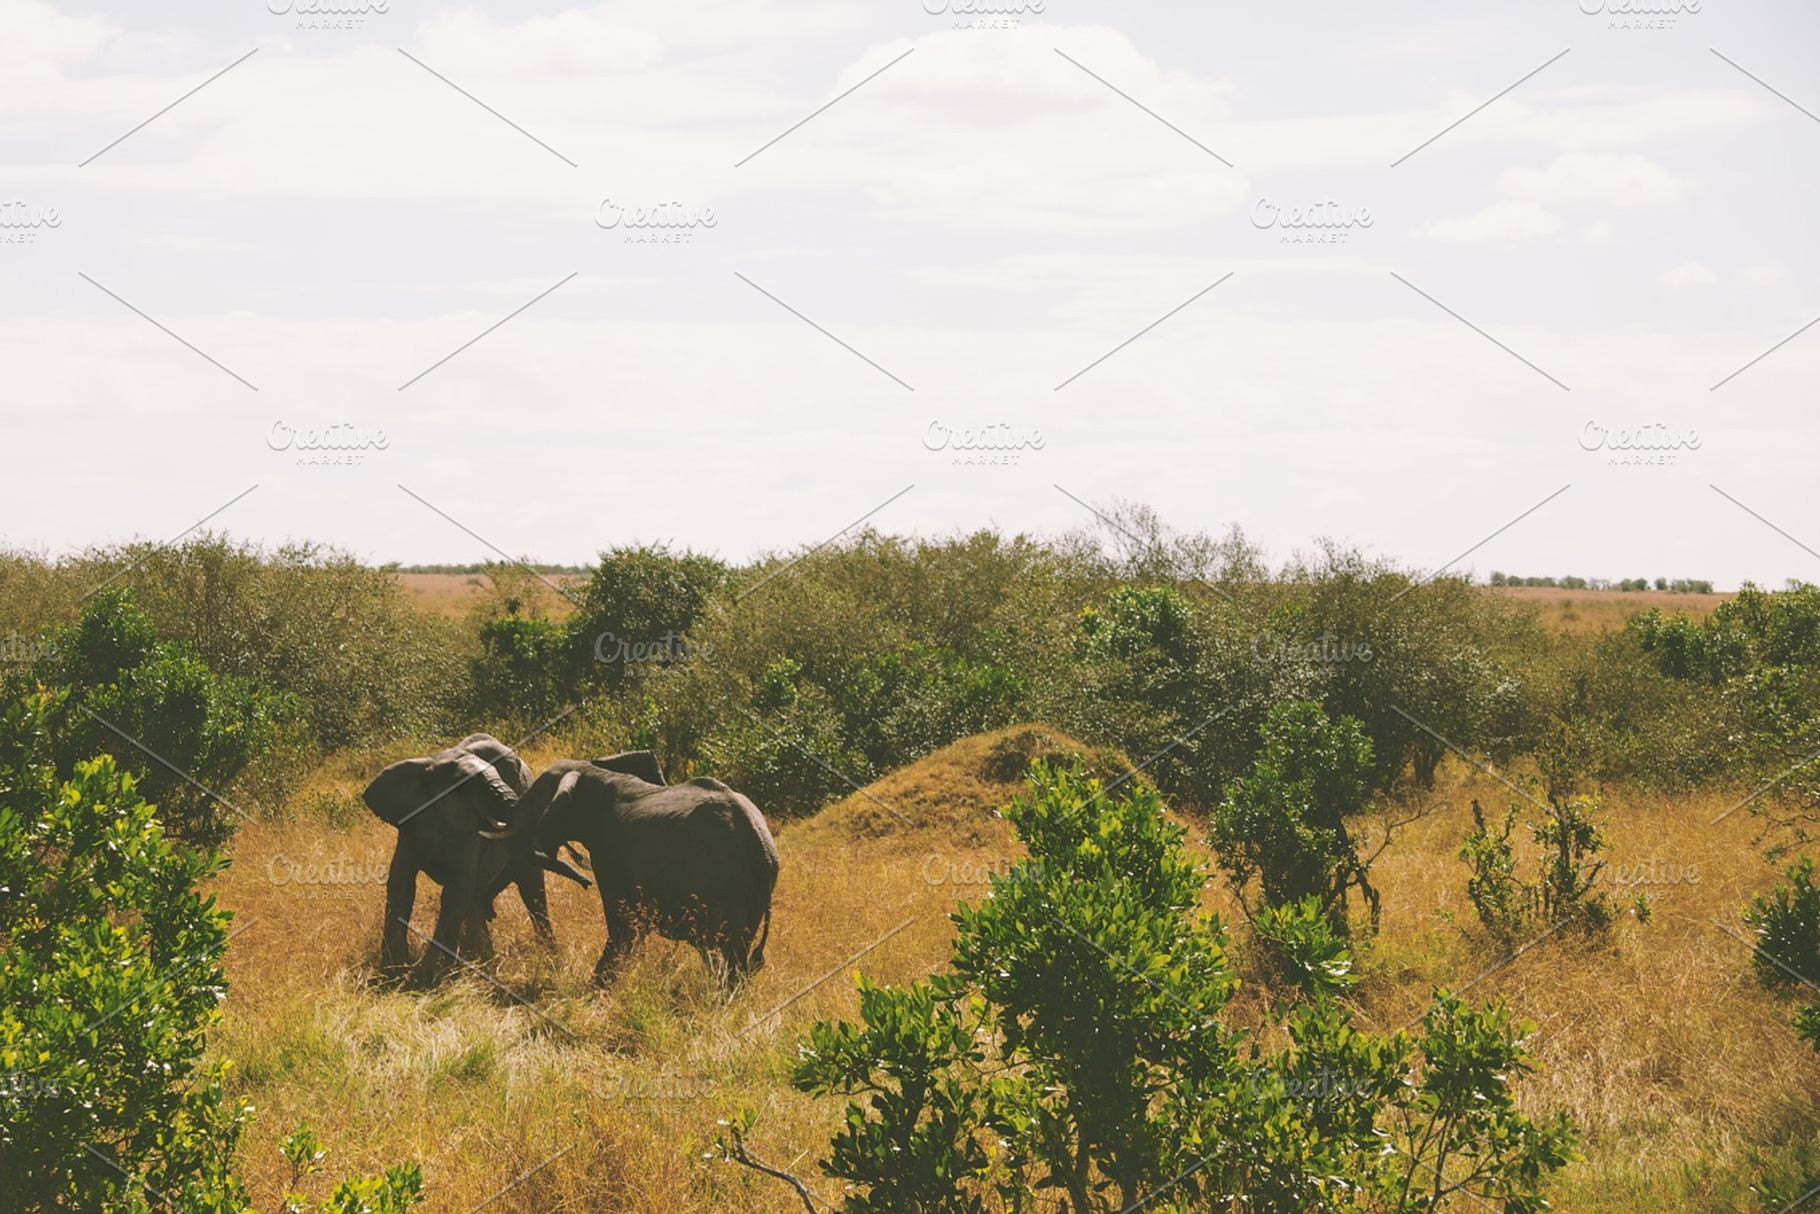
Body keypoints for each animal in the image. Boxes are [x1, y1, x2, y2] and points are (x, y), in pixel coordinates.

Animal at [362, 732, 589, 981]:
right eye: (465, 787)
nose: (587, 882)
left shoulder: (471, 835)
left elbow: (456, 891)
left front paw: (428, 975)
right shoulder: (410, 826)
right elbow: (401, 885)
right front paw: (395, 972)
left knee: (532, 892)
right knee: (478, 898)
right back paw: (481, 959)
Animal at [492, 752, 779, 989]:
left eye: (534, 799)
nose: (585, 882)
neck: (594, 773)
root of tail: (759, 843)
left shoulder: (610, 853)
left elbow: (620, 919)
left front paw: (597, 986)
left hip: (720, 882)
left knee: (722, 949)